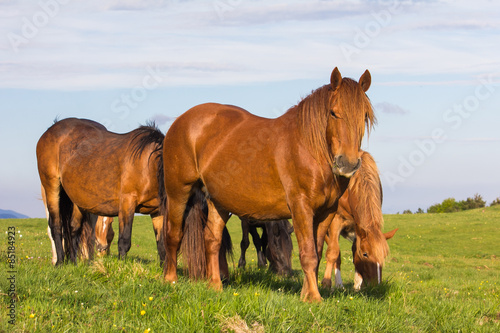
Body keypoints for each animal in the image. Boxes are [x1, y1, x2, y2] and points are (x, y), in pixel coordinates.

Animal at [38, 118, 166, 264]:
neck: (149, 165)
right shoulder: (127, 204)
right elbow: (124, 241)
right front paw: (121, 265)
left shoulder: (158, 211)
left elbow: (162, 246)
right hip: (51, 189)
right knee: (56, 226)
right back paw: (59, 262)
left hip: (77, 200)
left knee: (73, 229)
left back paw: (74, 263)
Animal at [161, 67, 376, 300]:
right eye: (333, 113)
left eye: (365, 116)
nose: (348, 163)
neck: (309, 148)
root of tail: (182, 120)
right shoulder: (300, 207)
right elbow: (308, 253)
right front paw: (314, 298)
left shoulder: (327, 212)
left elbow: (317, 253)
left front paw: (306, 293)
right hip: (178, 192)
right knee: (173, 234)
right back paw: (170, 279)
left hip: (219, 201)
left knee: (212, 239)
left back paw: (215, 285)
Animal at [320, 150, 398, 288]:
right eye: (365, 254)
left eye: (384, 255)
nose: (377, 286)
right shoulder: (336, 221)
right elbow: (333, 252)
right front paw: (328, 284)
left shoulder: (358, 226)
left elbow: (354, 249)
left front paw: (357, 286)